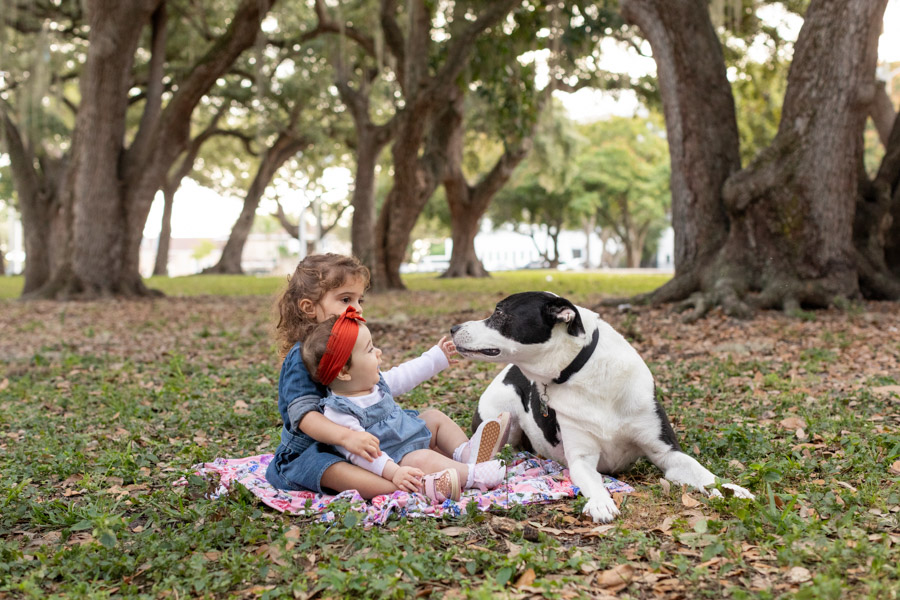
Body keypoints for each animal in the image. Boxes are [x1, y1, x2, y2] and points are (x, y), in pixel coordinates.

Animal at [450, 290, 752, 520]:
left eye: (500, 313)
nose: (453, 328)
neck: (582, 371)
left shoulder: (667, 453)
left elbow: (702, 472)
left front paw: (730, 488)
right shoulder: (582, 459)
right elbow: (593, 482)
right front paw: (600, 502)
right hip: (503, 418)